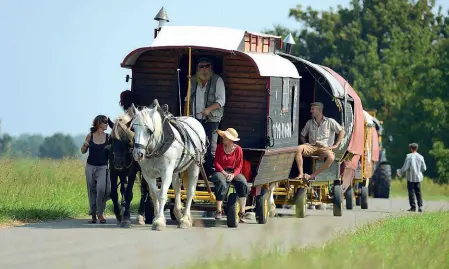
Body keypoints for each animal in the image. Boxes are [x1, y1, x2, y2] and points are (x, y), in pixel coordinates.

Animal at [130, 99, 206, 229]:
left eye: (149, 130)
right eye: (133, 129)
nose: (138, 154)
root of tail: (194, 120)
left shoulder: (166, 172)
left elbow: (162, 195)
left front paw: (159, 221)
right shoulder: (147, 174)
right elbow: (155, 195)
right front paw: (156, 217)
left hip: (194, 166)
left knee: (190, 191)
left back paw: (185, 219)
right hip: (175, 170)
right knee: (177, 188)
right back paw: (179, 213)